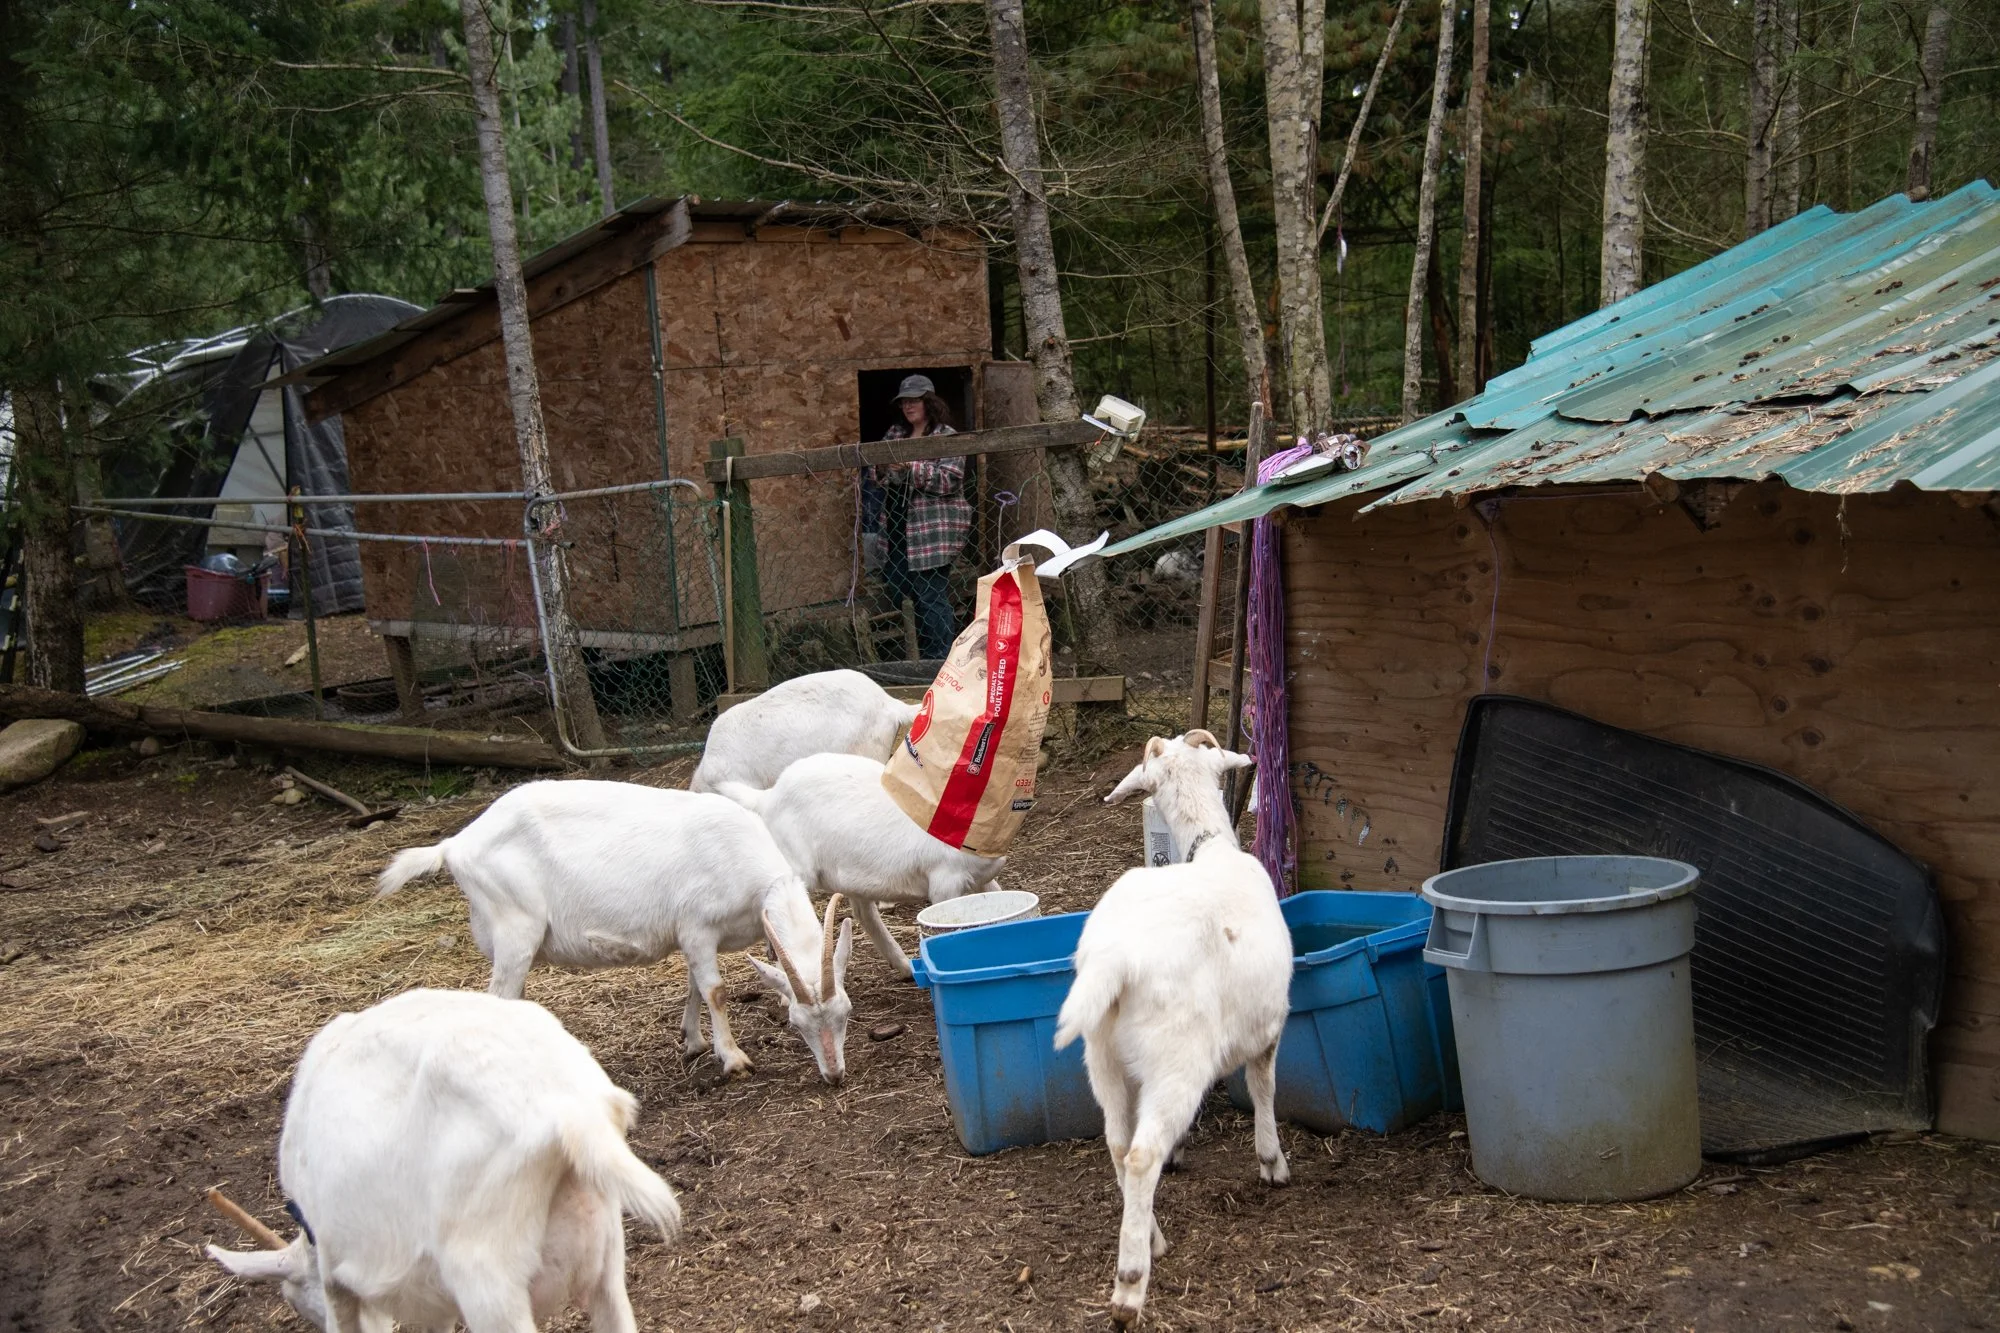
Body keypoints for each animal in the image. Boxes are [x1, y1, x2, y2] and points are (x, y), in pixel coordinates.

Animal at [377, 780, 855, 1083]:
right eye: (796, 1022)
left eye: (847, 1013)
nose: (834, 1075)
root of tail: (454, 845)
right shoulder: (698, 927)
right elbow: (716, 991)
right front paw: (734, 1059)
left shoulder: (690, 937)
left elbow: (694, 987)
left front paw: (693, 1041)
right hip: (515, 928)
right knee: (500, 998)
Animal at [717, 752, 1005, 980]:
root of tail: (767, 797)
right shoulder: (945, 881)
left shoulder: (981, 878)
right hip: (795, 867)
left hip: (854, 874)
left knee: (862, 912)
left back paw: (904, 966)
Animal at [1054, 730, 1292, 1326]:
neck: (1211, 847)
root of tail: (1114, 959)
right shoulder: (1270, 1023)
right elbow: (1263, 1088)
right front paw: (1271, 1161)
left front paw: (1184, 1149)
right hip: (1176, 1058)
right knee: (1141, 1156)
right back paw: (1130, 1285)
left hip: (1104, 1058)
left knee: (1119, 1144)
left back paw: (1150, 1236)